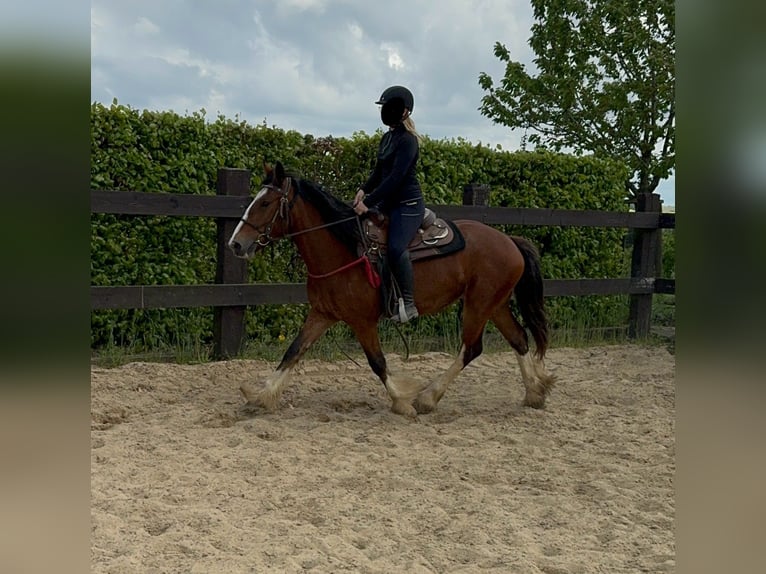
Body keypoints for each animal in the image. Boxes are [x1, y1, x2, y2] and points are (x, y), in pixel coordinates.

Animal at [228, 162, 560, 418]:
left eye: (265, 204)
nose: (236, 244)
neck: (345, 250)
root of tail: (510, 240)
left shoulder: (362, 322)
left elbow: (377, 362)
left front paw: (402, 402)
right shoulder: (322, 314)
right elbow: (293, 352)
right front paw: (262, 396)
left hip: (478, 305)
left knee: (472, 348)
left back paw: (428, 398)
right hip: (494, 303)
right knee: (518, 338)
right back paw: (534, 393)